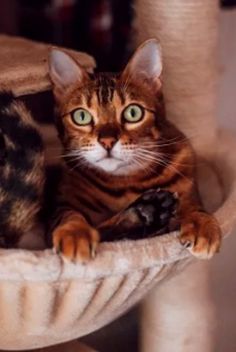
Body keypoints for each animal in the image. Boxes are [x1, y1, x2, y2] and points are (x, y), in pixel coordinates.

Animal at [48, 40, 221, 262]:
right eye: (81, 116)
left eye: (133, 112)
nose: (107, 141)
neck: (126, 182)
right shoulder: (63, 205)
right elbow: (72, 216)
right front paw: (75, 233)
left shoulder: (187, 187)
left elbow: (196, 208)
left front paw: (202, 224)